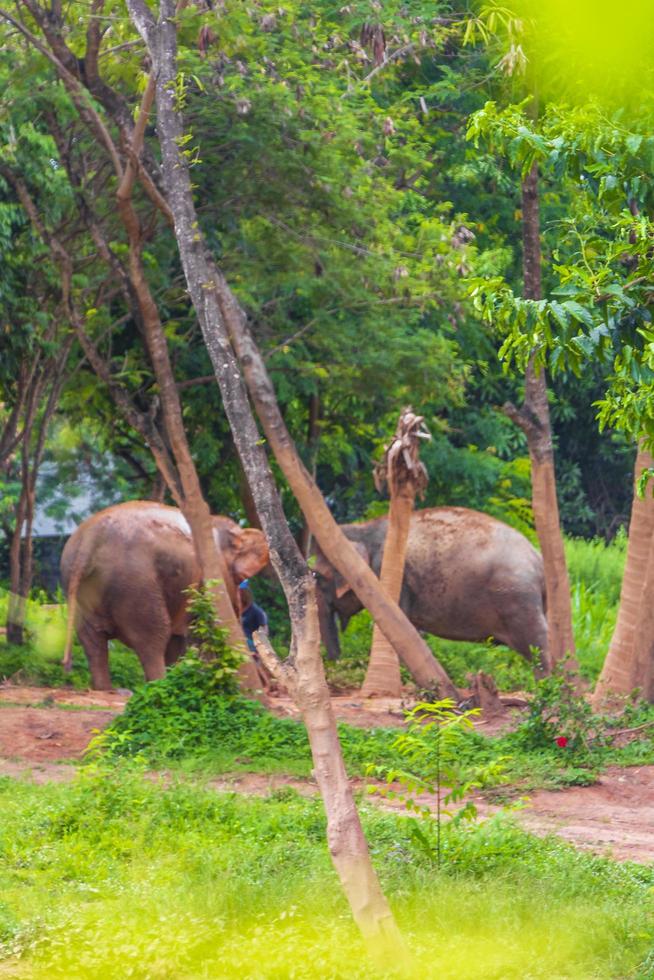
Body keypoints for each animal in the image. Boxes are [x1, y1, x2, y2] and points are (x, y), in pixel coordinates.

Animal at [59, 498, 270, 688]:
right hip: (136, 584)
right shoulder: (214, 573)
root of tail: (89, 539)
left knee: (92, 641)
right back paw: (159, 684)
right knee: (152, 637)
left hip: (84, 589)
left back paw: (106, 688)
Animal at [316, 506, 552, 672]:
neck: (363, 528)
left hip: (518, 598)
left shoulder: (392, 578)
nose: (338, 663)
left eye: (317, 576)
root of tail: (538, 559)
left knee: (538, 645)